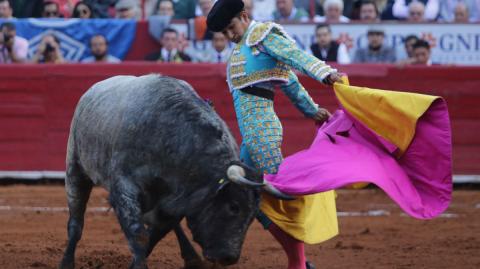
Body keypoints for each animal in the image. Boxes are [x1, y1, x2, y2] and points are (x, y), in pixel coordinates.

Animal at [59, 74, 270, 268]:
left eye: (253, 216)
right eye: (234, 207)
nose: (228, 258)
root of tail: (92, 90)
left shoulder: (176, 202)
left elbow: (154, 235)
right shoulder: (124, 188)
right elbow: (139, 233)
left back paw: (192, 258)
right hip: (75, 169)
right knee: (75, 223)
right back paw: (67, 262)